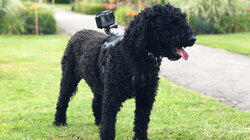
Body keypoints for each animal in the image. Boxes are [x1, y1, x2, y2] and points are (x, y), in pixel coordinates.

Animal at [53, 3, 196, 139]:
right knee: (62, 100)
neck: (135, 54)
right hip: (69, 77)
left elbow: (141, 122)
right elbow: (109, 124)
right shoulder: (112, 97)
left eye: (183, 20)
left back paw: (98, 122)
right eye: (171, 22)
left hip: (98, 84)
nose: (193, 38)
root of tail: (79, 32)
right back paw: (59, 121)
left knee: (96, 103)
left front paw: (140, 137)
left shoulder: (146, 96)